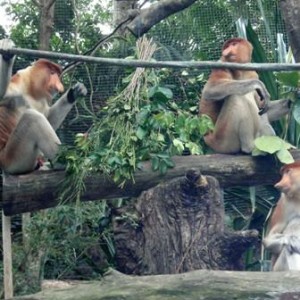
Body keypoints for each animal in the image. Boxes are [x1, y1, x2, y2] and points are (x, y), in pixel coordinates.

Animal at [0, 38, 88, 173]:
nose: (59, 84)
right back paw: (69, 163)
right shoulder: (18, 86)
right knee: (33, 118)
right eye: (52, 72)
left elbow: (49, 119)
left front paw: (74, 92)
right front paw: (6, 51)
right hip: (12, 160)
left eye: (57, 74)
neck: (32, 91)